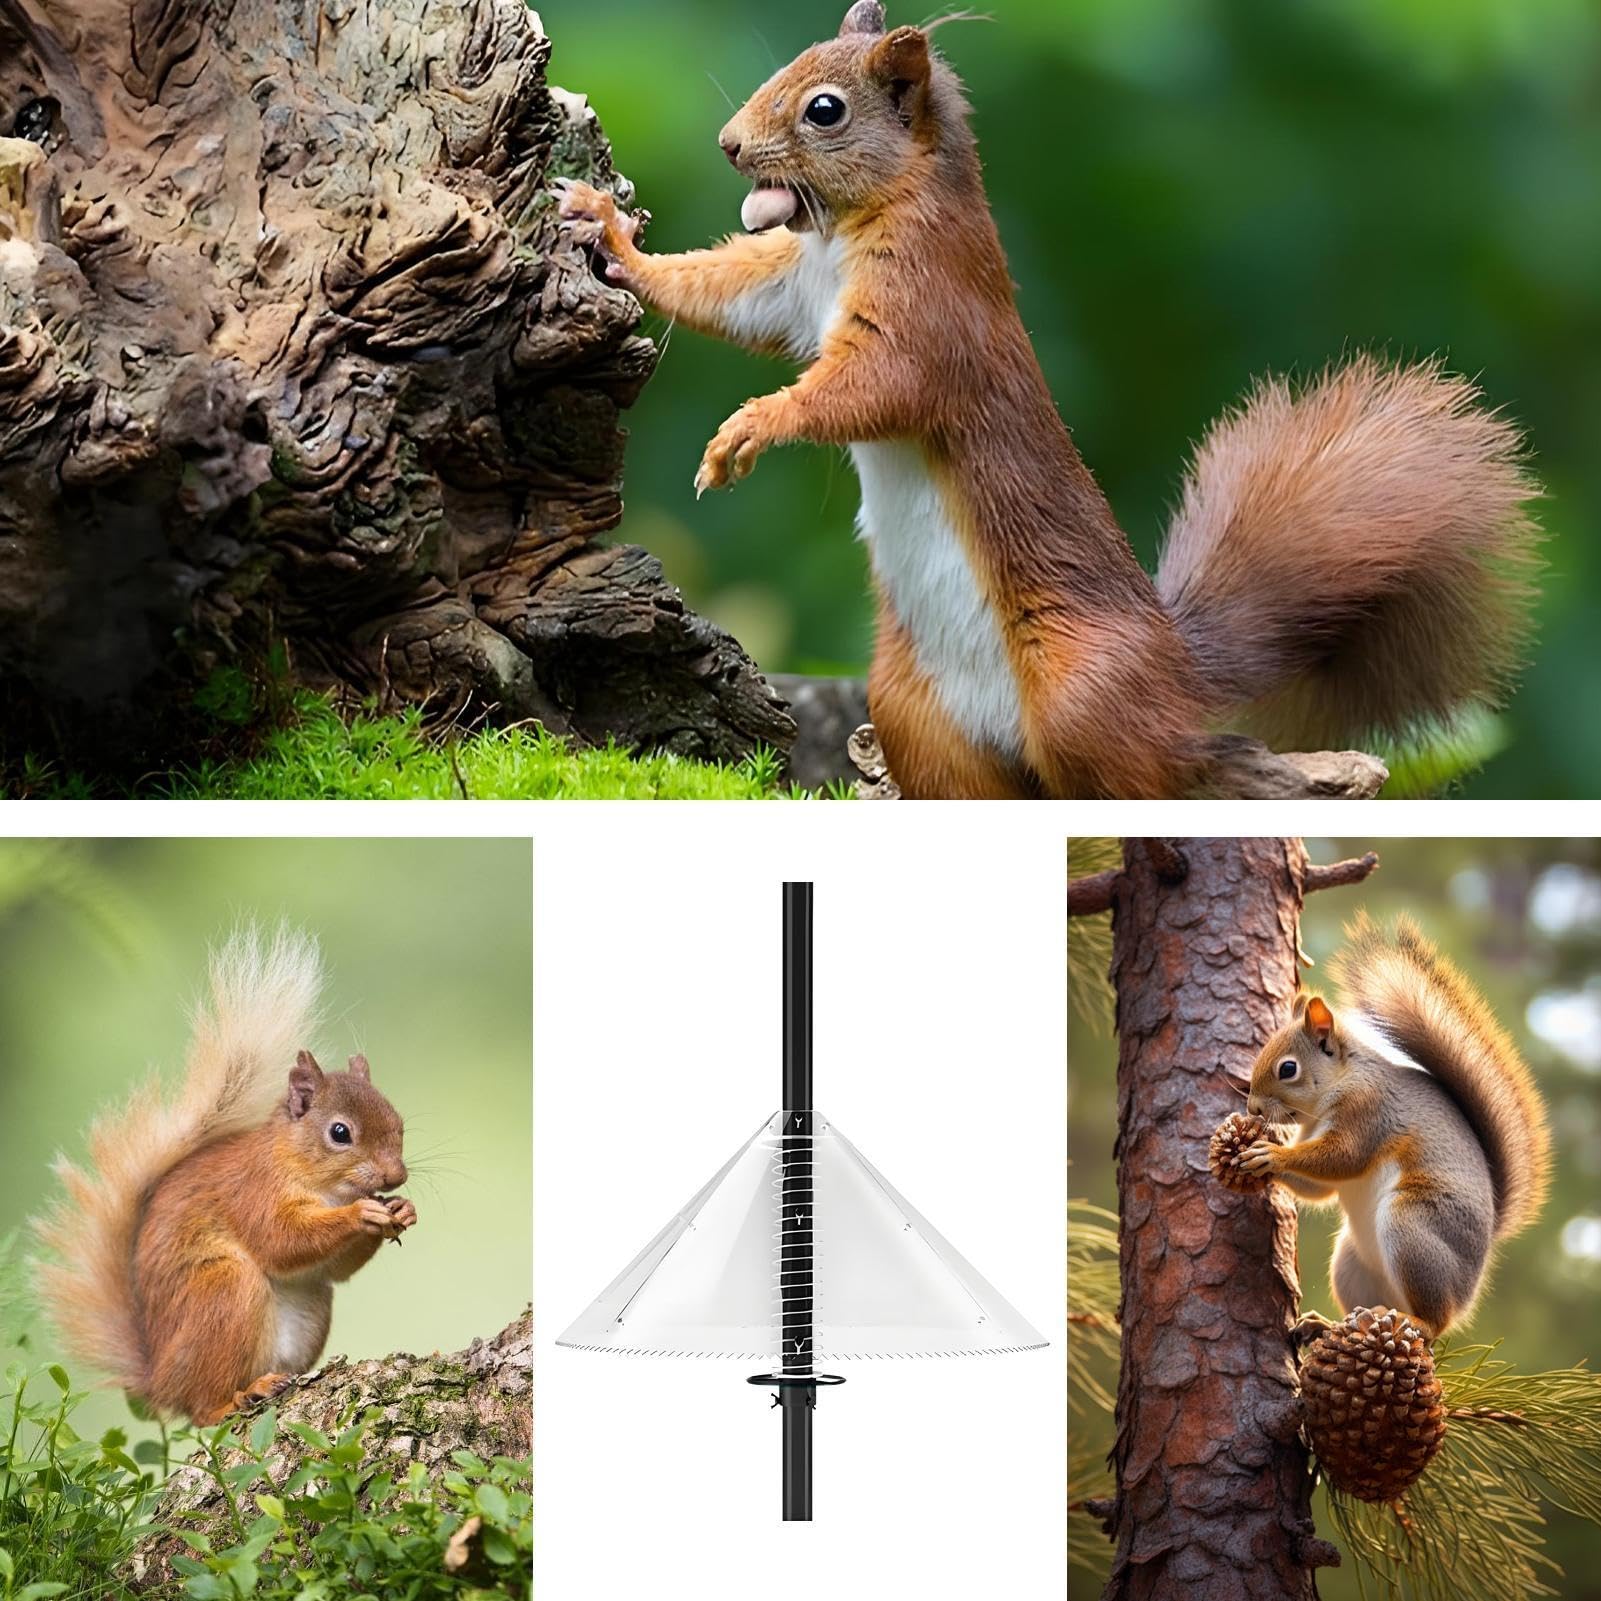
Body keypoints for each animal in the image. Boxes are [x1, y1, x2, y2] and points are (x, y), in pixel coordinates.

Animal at [33, 928, 417, 1425]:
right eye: (340, 1132)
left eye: (398, 1122)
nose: (396, 1176)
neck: (321, 1184)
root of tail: (160, 1381)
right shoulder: (252, 1192)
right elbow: (280, 1240)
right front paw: (362, 1214)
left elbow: (335, 1269)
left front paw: (402, 1210)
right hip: (224, 1291)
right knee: (202, 1410)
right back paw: (238, 1397)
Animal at [555, 1, 1541, 799]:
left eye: (824, 109)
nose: (727, 143)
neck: (857, 228)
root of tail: (1178, 670)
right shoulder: (791, 288)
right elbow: (725, 292)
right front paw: (609, 234)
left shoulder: (927, 319)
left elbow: (867, 389)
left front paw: (745, 431)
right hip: (915, 712)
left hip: (1080, 692)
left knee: (1159, 774)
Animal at [1239, 914, 1551, 1338]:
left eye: (1288, 1069)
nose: (1252, 1108)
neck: (1338, 1085)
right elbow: (1319, 1188)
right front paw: (1258, 1155)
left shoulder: (1368, 1110)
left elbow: (1342, 1158)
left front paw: (1271, 1154)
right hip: (1351, 1262)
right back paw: (1328, 1326)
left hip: (1411, 1227)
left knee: (1434, 1323)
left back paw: (1413, 1322)